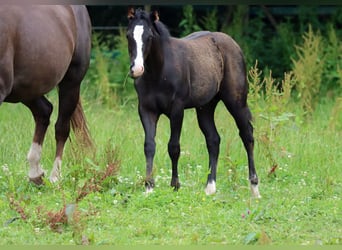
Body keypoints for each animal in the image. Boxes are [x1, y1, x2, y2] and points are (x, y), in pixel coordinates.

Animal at [0, 5, 93, 186]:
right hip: (27, 89)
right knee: (44, 111)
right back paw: (35, 173)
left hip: (71, 82)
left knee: (61, 127)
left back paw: (55, 177)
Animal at [127, 7, 260, 197]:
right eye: (128, 36)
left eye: (149, 36)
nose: (136, 69)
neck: (158, 73)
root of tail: (234, 45)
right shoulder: (146, 110)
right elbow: (149, 145)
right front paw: (149, 187)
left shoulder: (177, 109)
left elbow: (174, 147)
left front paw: (175, 185)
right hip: (205, 107)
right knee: (213, 139)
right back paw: (210, 187)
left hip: (236, 102)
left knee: (247, 135)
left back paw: (254, 188)